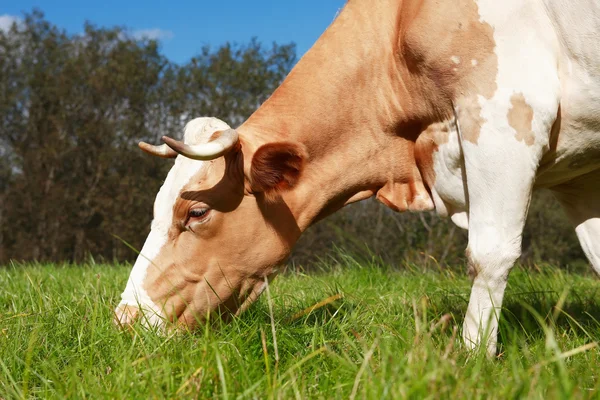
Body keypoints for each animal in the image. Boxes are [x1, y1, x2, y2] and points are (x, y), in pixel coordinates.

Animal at [115, 0, 600, 356]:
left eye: (196, 212)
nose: (125, 319)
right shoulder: (579, 173)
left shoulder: (506, 113)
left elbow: (490, 255)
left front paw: (472, 357)